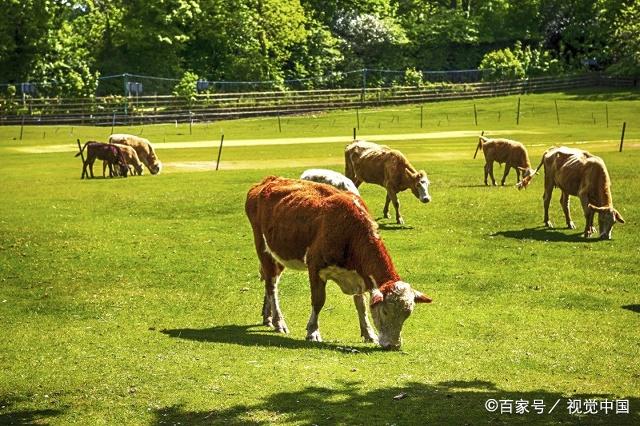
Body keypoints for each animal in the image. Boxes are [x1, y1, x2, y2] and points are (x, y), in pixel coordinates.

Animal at [244, 176, 430, 350]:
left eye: (407, 314)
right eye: (385, 311)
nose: (393, 345)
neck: (350, 231)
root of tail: (267, 181)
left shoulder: (359, 275)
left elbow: (361, 305)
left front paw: (368, 333)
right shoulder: (315, 267)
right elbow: (318, 301)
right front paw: (313, 331)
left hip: (278, 254)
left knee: (270, 282)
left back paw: (267, 316)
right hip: (263, 249)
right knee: (271, 286)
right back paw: (278, 321)